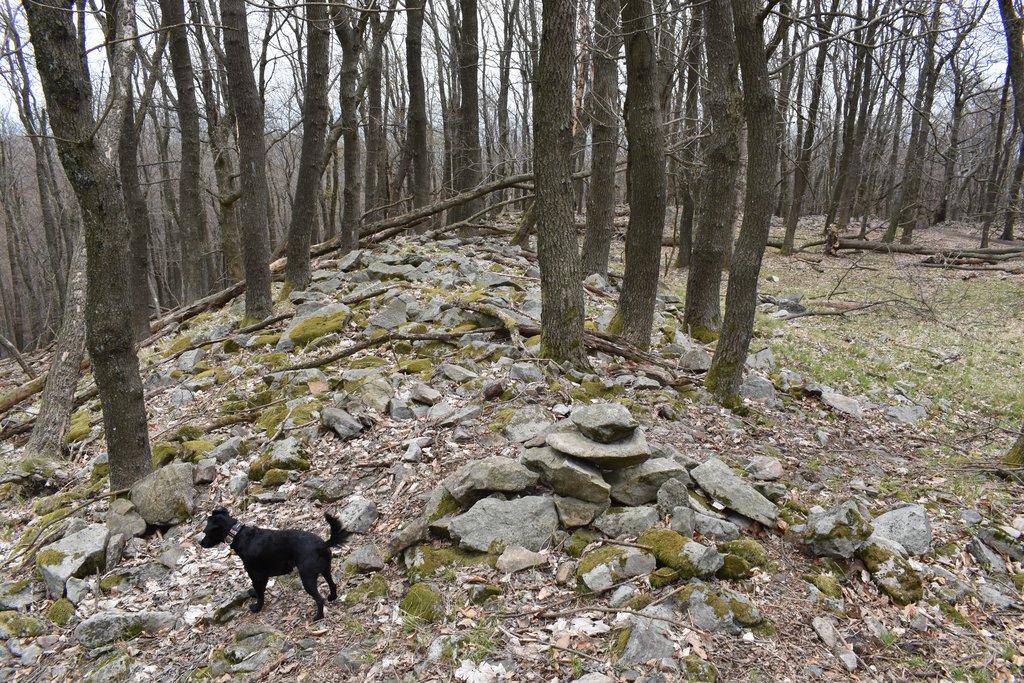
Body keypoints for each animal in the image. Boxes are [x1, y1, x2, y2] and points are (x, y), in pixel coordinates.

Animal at [197, 509, 350, 622]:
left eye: (206, 532)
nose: (201, 543)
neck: (238, 535)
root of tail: (322, 545)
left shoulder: (257, 575)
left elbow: (260, 594)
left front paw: (257, 607)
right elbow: (257, 590)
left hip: (307, 578)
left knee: (319, 599)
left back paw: (318, 617)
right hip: (325, 570)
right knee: (332, 584)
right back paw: (332, 597)